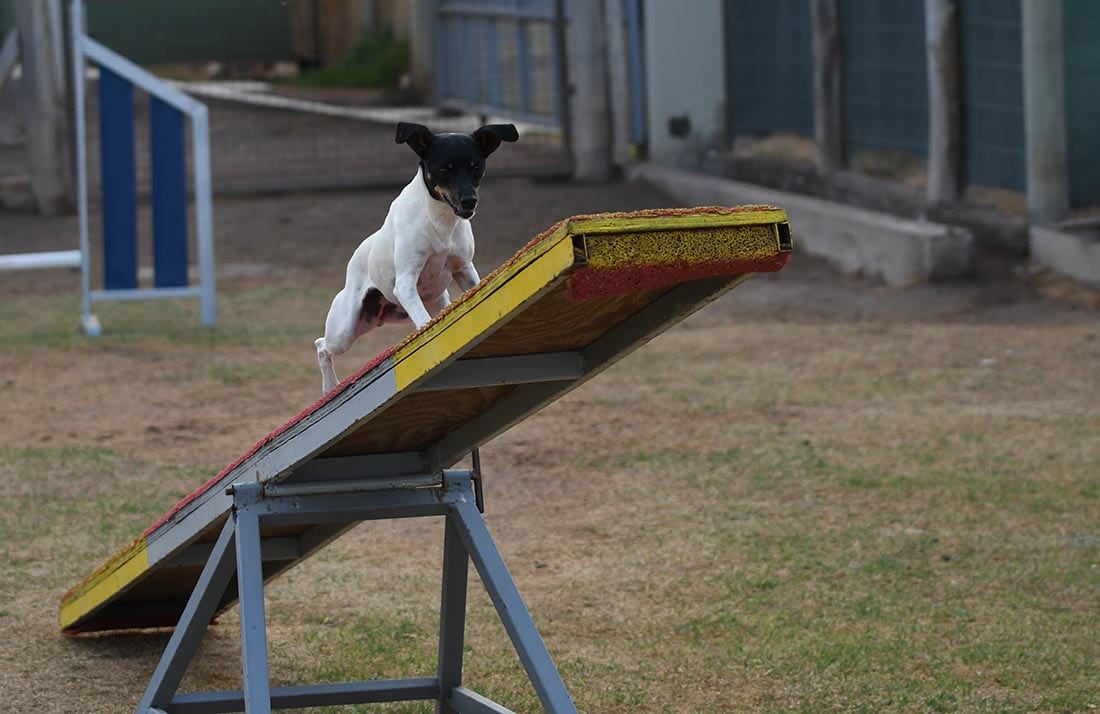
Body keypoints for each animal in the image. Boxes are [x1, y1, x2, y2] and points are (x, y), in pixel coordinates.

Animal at [310, 120, 514, 391]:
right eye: (444, 169)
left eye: (476, 168)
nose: (469, 201)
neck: (439, 219)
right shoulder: (406, 281)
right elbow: (424, 322)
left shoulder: (464, 269)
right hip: (346, 327)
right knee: (322, 344)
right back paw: (330, 386)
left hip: (426, 305)